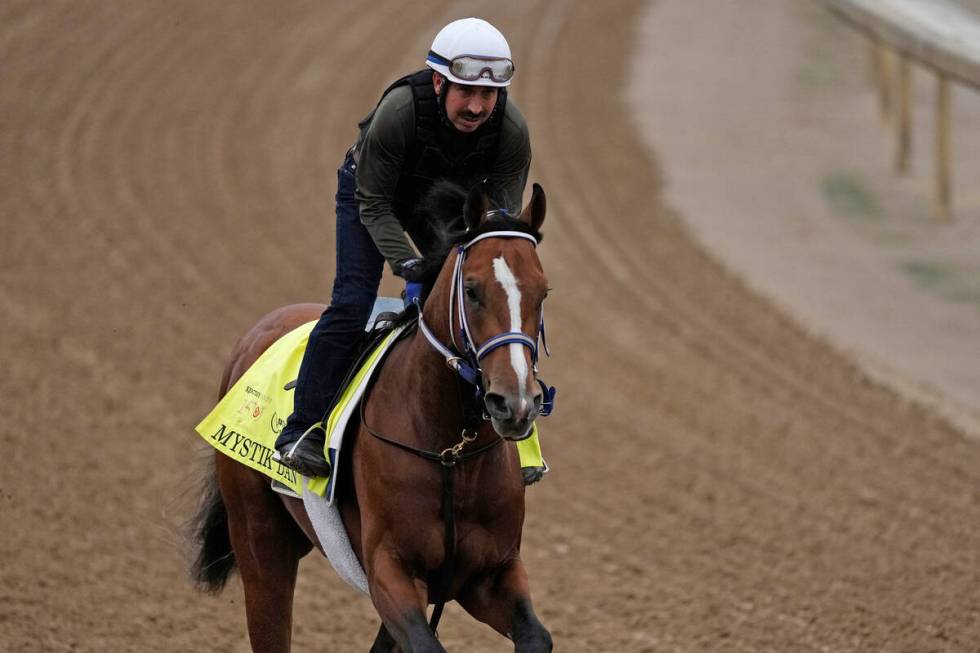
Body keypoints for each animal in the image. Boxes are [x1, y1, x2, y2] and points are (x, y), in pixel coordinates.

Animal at [189, 180, 556, 652]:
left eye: (542, 293)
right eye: (472, 290)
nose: (515, 404)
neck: (449, 450)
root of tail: (256, 334)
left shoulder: (490, 573)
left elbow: (536, 636)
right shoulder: (389, 568)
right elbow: (425, 643)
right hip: (259, 537)